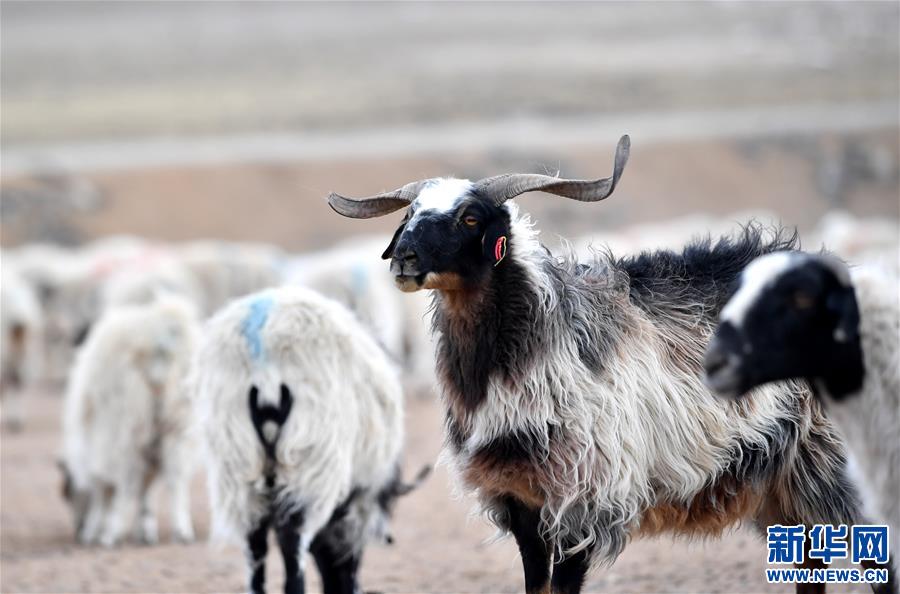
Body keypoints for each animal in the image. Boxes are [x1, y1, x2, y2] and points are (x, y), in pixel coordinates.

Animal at [60, 292, 200, 544]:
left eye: (68, 493)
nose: (77, 529)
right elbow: (145, 491)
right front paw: (145, 529)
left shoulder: (98, 444)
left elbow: (103, 489)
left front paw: (94, 529)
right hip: (178, 422)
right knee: (177, 479)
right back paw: (182, 531)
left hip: (125, 423)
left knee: (126, 480)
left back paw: (110, 534)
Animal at [189, 284, 426, 588]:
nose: (343, 586)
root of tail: (262, 338)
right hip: (307, 457)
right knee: (292, 543)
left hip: (236, 461)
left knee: (255, 547)